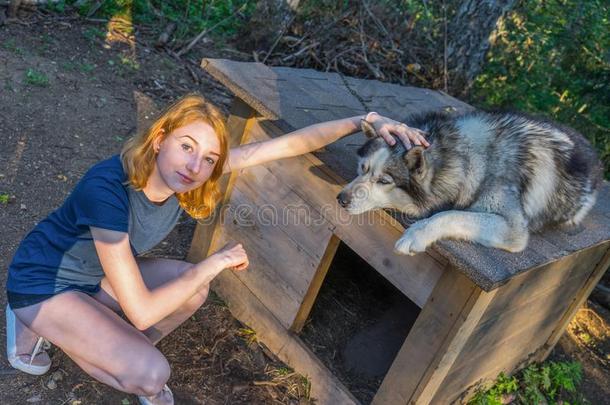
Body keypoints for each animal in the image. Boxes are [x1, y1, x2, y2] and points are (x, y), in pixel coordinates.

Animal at [334, 109, 600, 256]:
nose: (341, 199)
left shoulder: (513, 228)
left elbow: (449, 215)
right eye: (363, 168)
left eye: (383, 181)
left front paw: (416, 235)